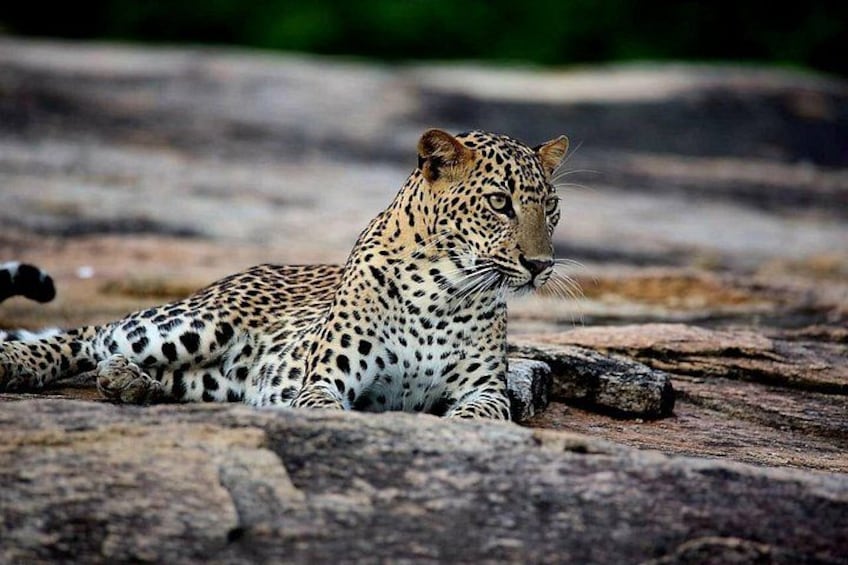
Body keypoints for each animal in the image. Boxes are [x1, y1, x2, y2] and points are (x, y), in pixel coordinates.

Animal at [0, 129, 569, 420]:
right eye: (499, 203)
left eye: (551, 207)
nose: (540, 266)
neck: (444, 291)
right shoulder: (325, 380)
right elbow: (329, 410)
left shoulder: (485, 391)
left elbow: (478, 416)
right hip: (197, 323)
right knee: (91, 334)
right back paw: (20, 365)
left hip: (211, 379)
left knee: (156, 373)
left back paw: (127, 382)